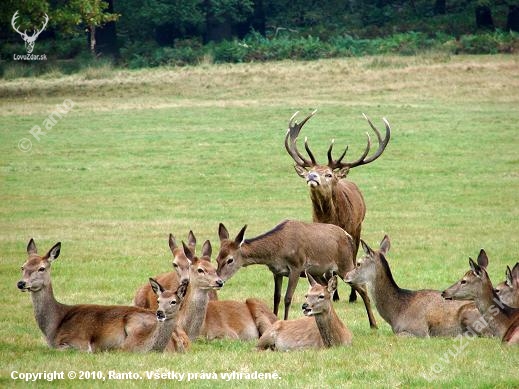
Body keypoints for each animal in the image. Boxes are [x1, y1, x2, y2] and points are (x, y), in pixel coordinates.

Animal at [215, 218, 378, 328]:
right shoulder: (276, 272)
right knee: (326, 288)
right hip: (319, 272)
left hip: (345, 264)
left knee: (363, 289)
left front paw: (286, 321)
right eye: (217, 258)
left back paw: (373, 324)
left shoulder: (296, 266)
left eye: (230, 260)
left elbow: (288, 298)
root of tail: (348, 236)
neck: (277, 251)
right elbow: (276, 297)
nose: (219, 281)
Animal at [286, 110, 392, 304]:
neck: (329, 217)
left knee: (354, 255)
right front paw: (333, 294)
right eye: (310, 170)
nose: (311, 176)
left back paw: (352, 295)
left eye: (328, 174)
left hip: (357, 228)